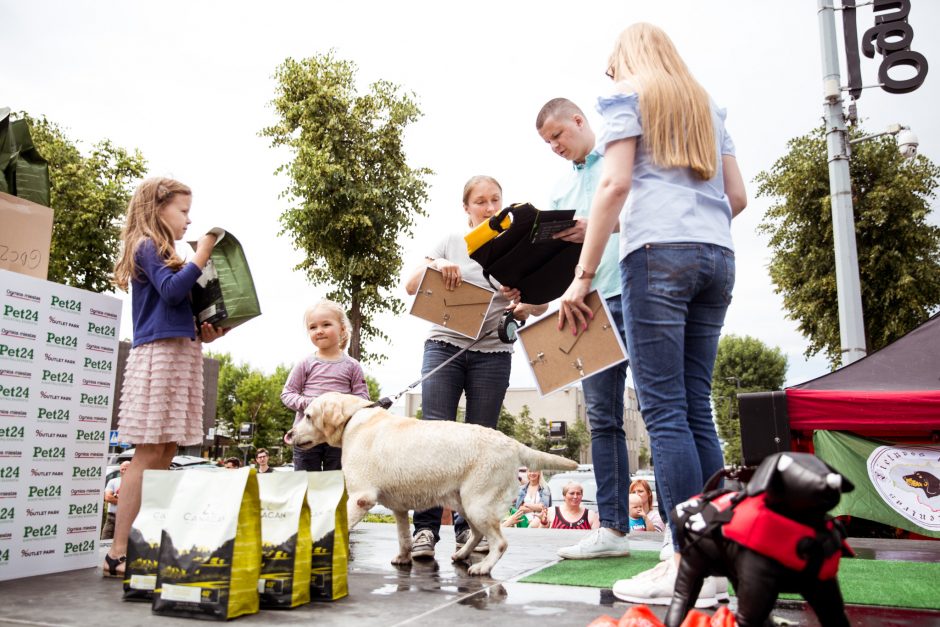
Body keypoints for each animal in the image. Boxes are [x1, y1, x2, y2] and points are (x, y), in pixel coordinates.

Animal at [286, 394, 580, 576]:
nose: (288, 435)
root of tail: (512, 443)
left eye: (308, 416)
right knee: (476, 533)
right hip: (465, 503)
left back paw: (482, 567)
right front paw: (404, 557)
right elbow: (404, 537)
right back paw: (462, 555)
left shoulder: (360, 498)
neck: (352, 419)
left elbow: (336, 527)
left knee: (500, 542)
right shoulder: (399, 508)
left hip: (477, 504)